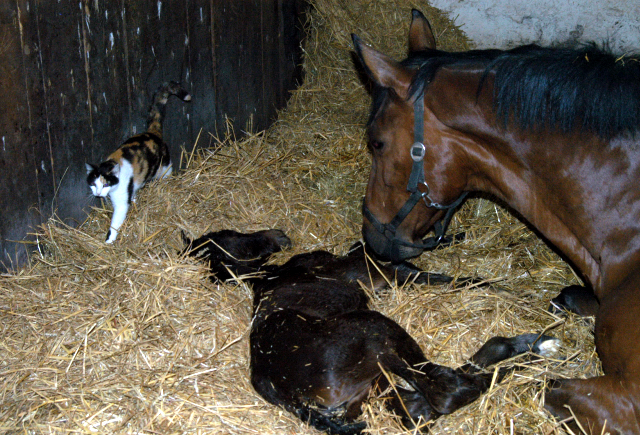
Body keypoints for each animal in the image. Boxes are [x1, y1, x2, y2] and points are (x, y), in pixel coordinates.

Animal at [86, 82, 190, 244]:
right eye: (93, 184)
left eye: (106, 184)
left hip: (164, 167)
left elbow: (115, 222)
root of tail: (153, 132)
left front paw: (109, 241)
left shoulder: (121, 202)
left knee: (167, 172)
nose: (97, 194)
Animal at [182, 230, 556, 434]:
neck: (270, 276)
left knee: (421, 407)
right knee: (447, 389)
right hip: (379, 335)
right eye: (233, 237)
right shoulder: (379, 271)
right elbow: (443, 276)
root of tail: (271, 383)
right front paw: (505, 290)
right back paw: (535, 347)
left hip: (375, 386)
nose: (279, 236)